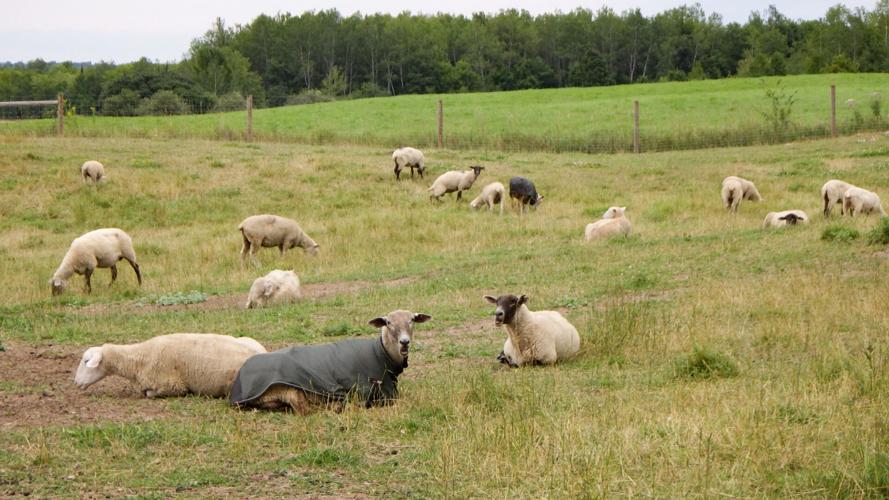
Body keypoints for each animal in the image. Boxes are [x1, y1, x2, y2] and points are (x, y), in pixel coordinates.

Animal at [230, 310, 432, 414]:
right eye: (388, 323)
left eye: (412, 320)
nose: (404, 341)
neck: (380, 353)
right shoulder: (366, 391)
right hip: (289, 389)